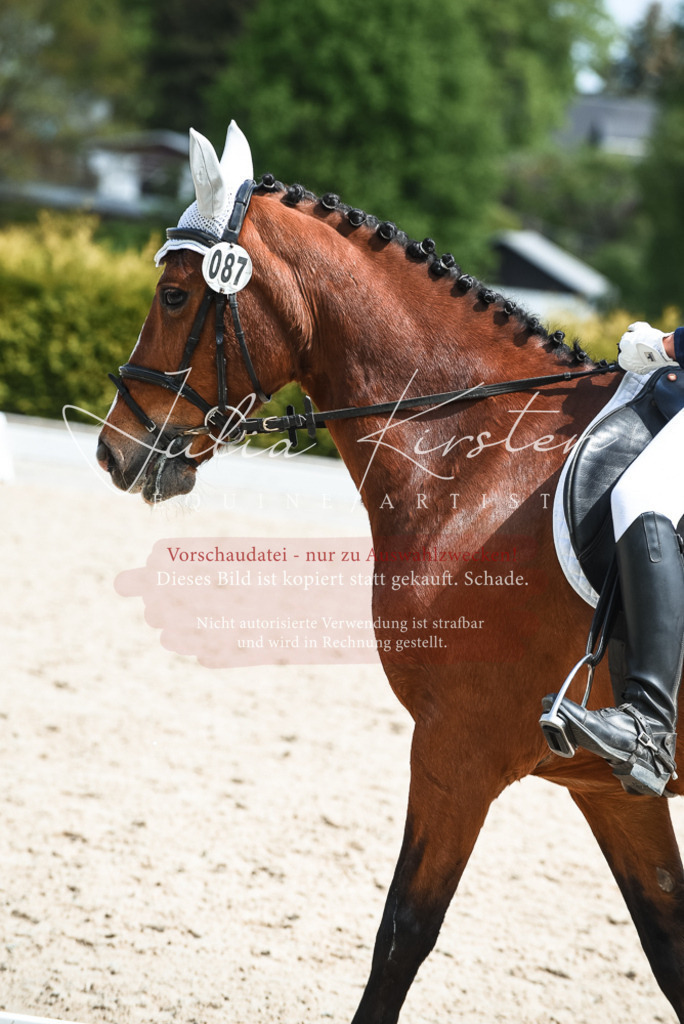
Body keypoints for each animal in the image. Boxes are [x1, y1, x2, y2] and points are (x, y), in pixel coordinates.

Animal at [96, 124, 684, 1023]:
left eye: (171, 295)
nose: (112, 449)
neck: (486, 465)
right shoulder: (612, 790)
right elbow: (671, 950)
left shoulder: (458, 747)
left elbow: (402, 933)